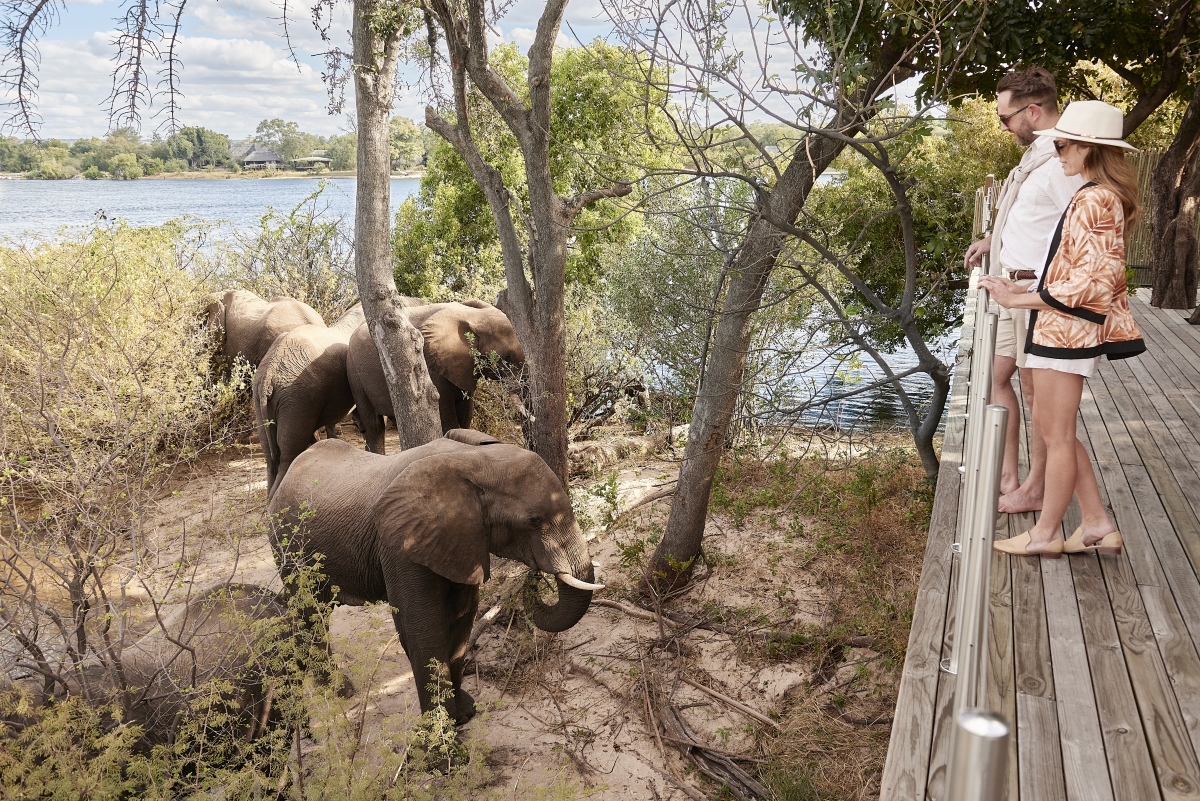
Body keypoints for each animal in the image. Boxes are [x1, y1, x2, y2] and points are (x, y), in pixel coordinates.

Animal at [270, 431, 600, 724]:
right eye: (534, 520)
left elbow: (461, 622)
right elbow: (423, 632)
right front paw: (443, 740)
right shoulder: (401, 546)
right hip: (287, 544)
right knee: (310, 611)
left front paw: (464, 714)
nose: (534, 579)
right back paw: (339, 691)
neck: (473, 461)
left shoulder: (459, 541)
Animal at [343, 298, 520, 453]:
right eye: (506, 358)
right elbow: (448, 421)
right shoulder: (430, 365)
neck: (473, 316)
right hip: (354, 375)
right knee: (375, 426)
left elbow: (465, 416)